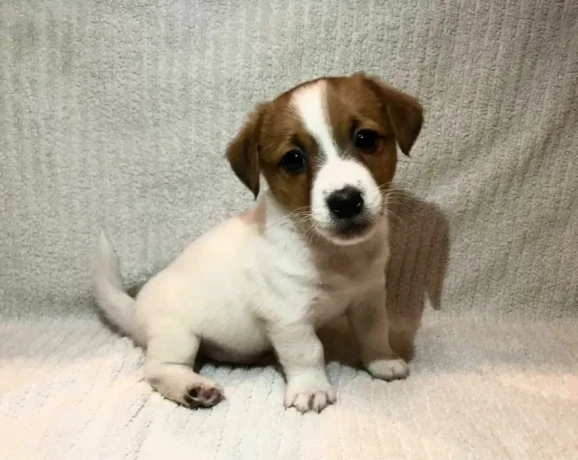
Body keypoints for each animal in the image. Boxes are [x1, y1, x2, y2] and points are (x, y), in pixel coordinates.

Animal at [92, 73, 420, 414]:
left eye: (365, 139)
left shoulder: (369, 298)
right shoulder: (289, 317)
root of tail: (135, 310)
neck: (335, 255)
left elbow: (374, 333)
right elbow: (308, 352)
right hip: (177, 335)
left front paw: (382, 361)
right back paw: (192, 388)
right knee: (159, 369)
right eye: (293, 159)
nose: (345, 201)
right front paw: (311, 388)